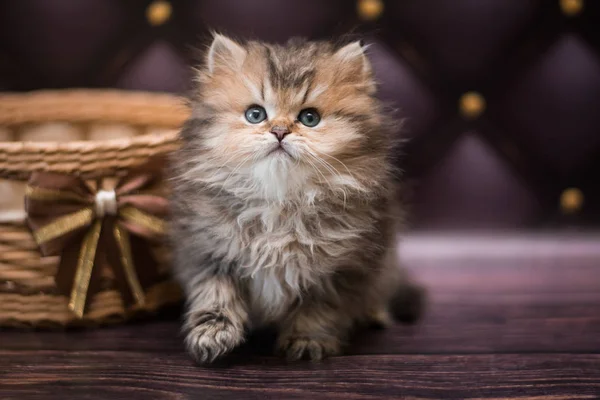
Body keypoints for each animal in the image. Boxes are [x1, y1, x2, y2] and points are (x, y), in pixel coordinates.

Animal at [169, 34, 422, 364]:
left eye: (309, 118)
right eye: (255, 115)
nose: (279, 131)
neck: (280, 200)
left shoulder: (343, 267)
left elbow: (319, 309)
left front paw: (307, 340)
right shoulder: (206, 251)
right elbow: (215, 295)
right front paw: (212, 335)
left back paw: (375, 314)